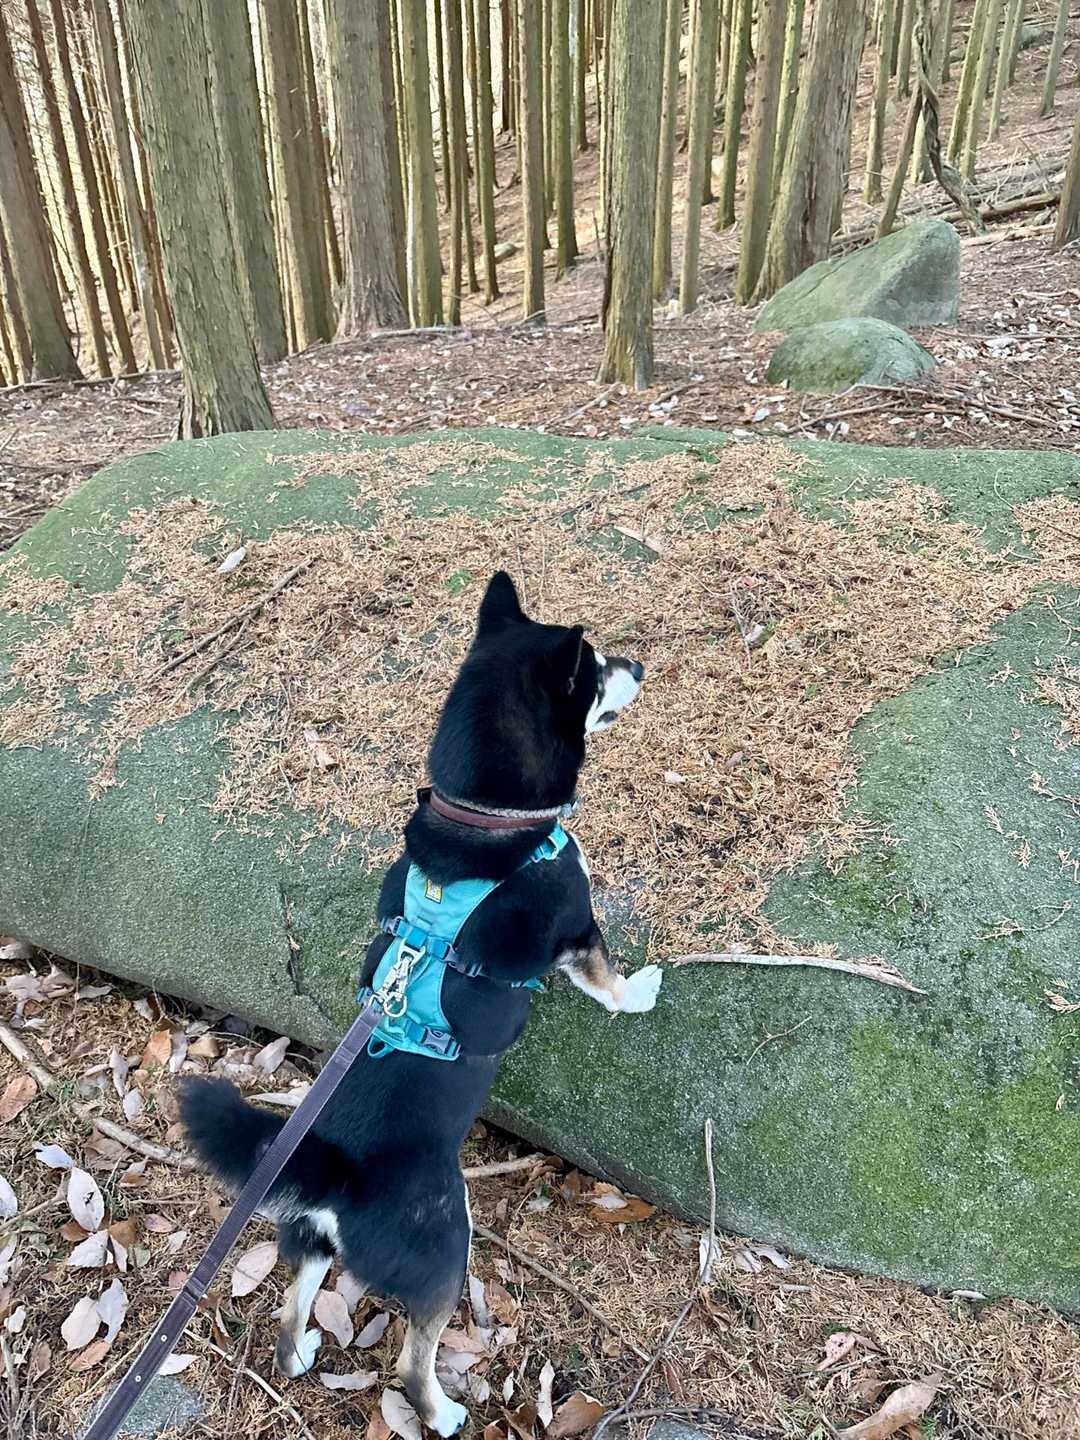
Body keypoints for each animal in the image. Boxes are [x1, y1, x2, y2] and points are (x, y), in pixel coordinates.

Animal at [179, 570, 662, 1435]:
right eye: (601, 667)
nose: (641, 663)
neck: (479, 818)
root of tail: (336, 1180)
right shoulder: (575, 925)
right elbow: (606, 981)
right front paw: (640, 994)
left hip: (310, 1239)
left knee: (292, 1307)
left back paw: (300, 1350)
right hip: (446, 1246)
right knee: (412, 1359)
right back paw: (440, 1412)